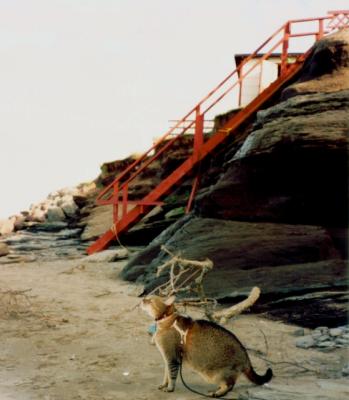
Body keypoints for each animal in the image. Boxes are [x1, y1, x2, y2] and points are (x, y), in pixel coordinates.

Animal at [140, 294, 270, 396]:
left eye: (149, 300)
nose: (142, 299)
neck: (165, 320)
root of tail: (246, 356)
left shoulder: (172, 357)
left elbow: (171, 374)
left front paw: (170, 388)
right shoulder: (167, 357)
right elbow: (166, 374)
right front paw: (164, 385)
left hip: (218, 373)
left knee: (230, 385)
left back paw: (218, 393)